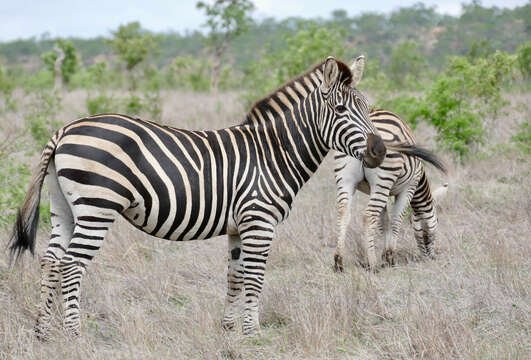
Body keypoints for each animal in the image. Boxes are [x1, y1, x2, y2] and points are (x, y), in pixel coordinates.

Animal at [7, 56, 394, 338]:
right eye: (341, 110)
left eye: (367, 106)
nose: (380, 150)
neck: (274, 152)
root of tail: (64, 129)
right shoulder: (260, 221)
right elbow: (255, 277)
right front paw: (253, 333)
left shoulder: (239, 226)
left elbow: (235, 276)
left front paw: (228, 330)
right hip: (96, 207)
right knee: (72, 265)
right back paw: (74, 334)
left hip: (64, 207)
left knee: (51, 260)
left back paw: (43, 332)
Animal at [334, 108, 446, 272]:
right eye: (437, 220)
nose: (430, 258)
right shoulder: (408, 188)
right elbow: (395, 220)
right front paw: (390, 258)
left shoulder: (380, 191)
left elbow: (384, 222)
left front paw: (384, 256)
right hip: (383, 178)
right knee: (368, 216)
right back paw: (372, 265)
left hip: (346, 179)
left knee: (343, 212)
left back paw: (338, 262)